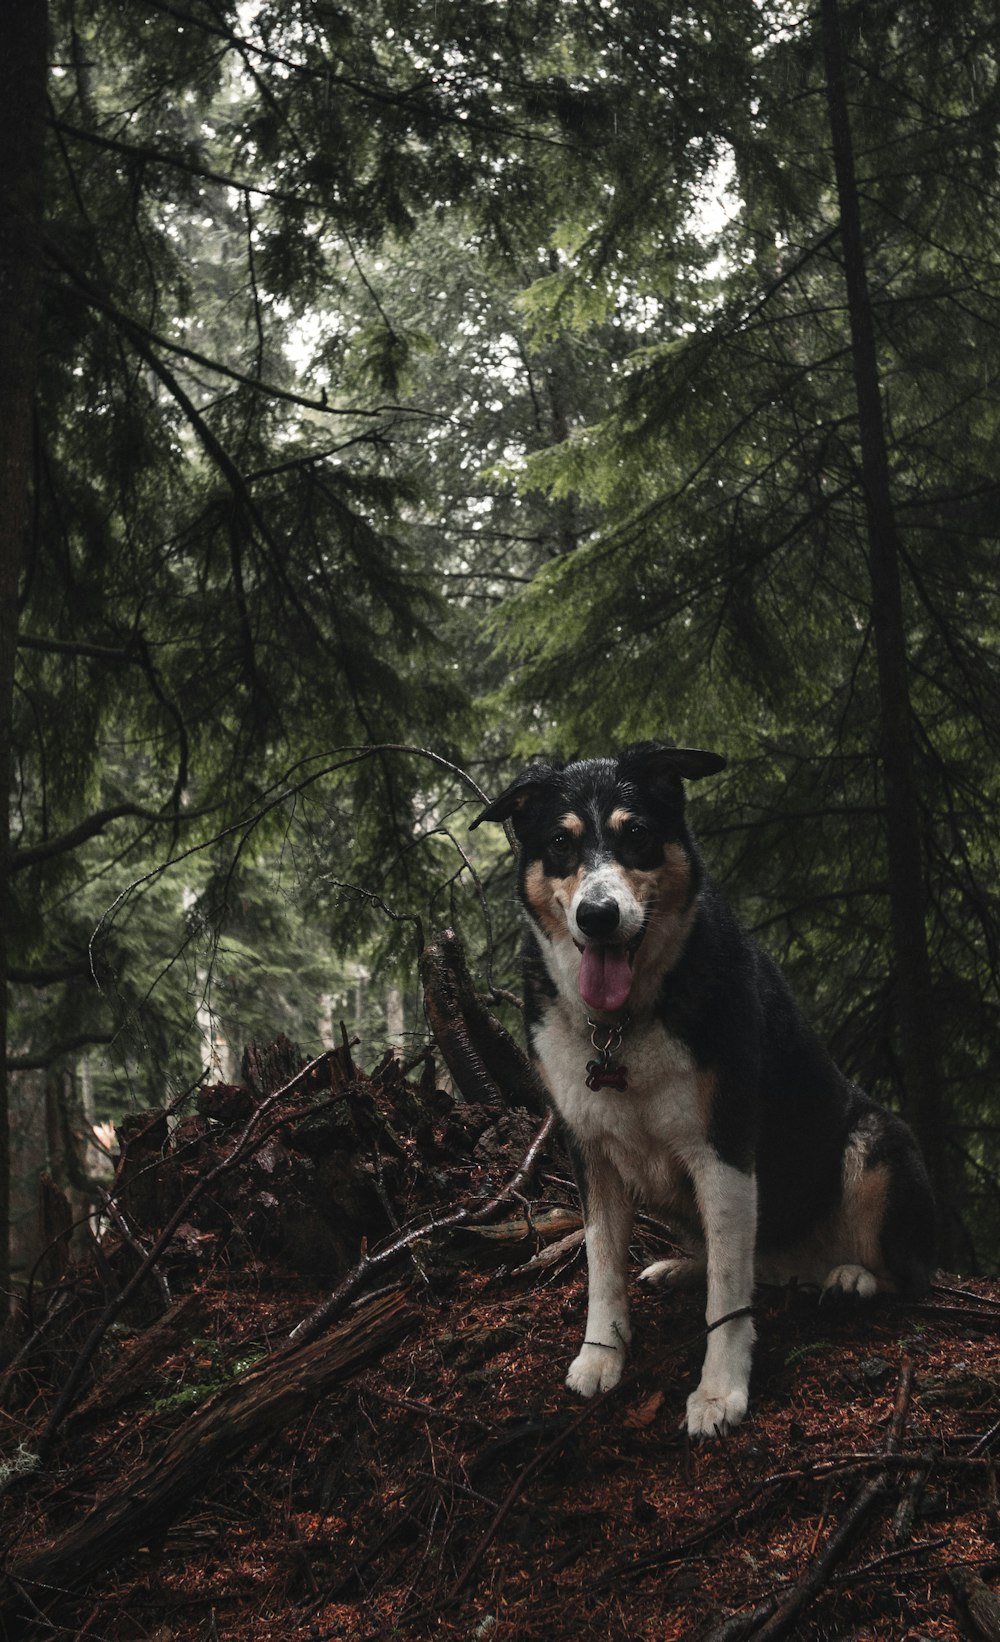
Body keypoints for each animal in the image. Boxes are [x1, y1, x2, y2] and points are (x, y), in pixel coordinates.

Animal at [472, 745, 932, 1438]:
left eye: (637, 833)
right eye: (559, 843)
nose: (598, 916)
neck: (620, 1026)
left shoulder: (725, 1147)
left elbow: (728, 1297)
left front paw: (719, 1391)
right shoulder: (590, 1149)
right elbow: (602, 1263)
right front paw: (601, 1355)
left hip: (875, 1141)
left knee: (891, 1271)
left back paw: (852, 1276)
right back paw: (683, 1266)